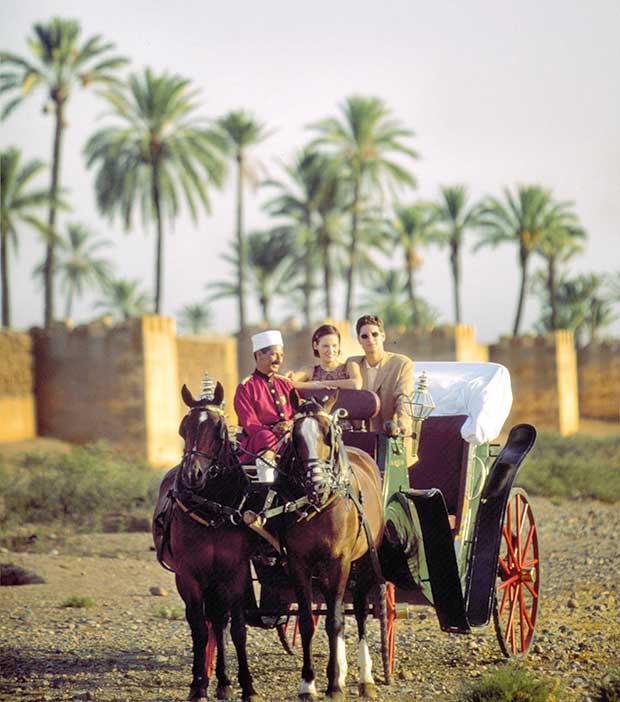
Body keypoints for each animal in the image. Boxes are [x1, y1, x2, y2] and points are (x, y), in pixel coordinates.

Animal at [153, 384, 260, 702]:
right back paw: (210, 680)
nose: (193, 474)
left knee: (219, 621)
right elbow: (199, 630)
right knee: (207, 622)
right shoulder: (188, 576)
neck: (213, 508)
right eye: (183, 427)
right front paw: (199, 685)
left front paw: (248, 686)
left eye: (219, 429)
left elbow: (237, 630)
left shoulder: (235, 573)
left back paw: (224, 681)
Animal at [278, 394, 386, 700]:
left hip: (364, 562)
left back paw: (365, 678)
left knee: (359, 611)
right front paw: (309, 682)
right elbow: (307, 621)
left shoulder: (340, 561)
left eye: (328, 434)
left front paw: (334, 684)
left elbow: (336, 621)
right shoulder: (299, 562)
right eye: (295, 437)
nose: (316, 484)